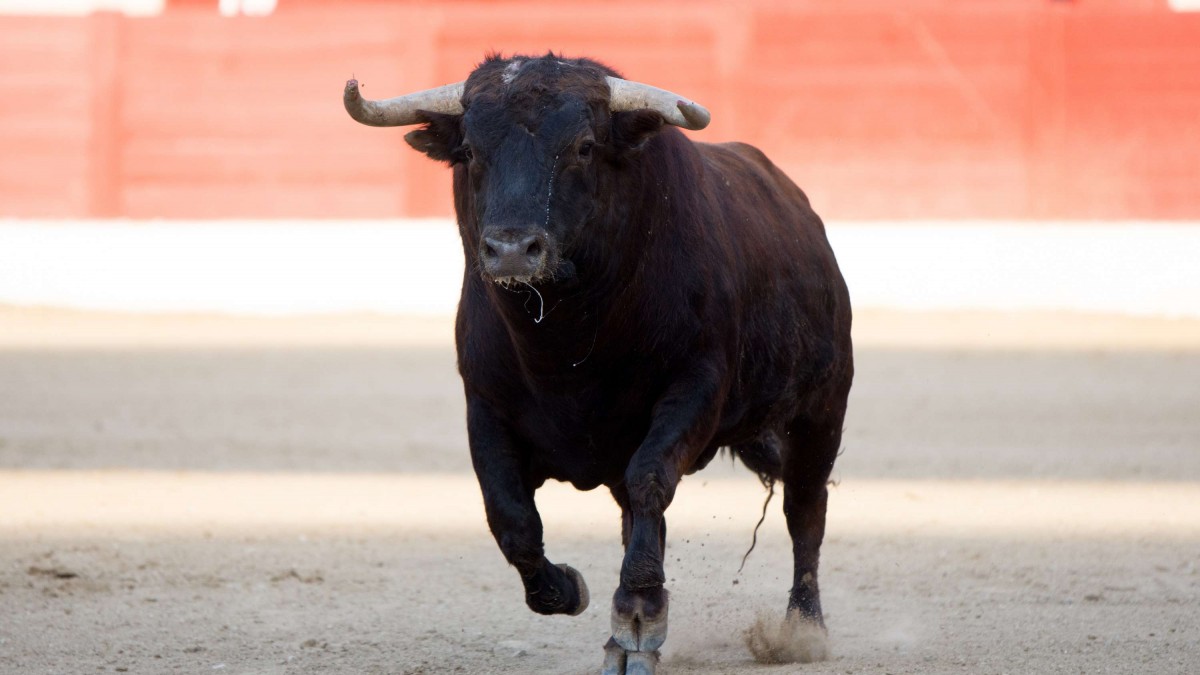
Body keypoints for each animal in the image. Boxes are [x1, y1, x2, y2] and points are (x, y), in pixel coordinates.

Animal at [345, 53, 854, 672]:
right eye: (468, 150)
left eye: (585, 147)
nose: (512, 250)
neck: (567, 345)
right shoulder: (485, 405)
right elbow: (510, 516)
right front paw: (575, 593)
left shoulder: (695, 386)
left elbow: (651, 479)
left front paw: (639, 617)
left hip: (821, 411)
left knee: (804, 509)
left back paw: (802, 628)